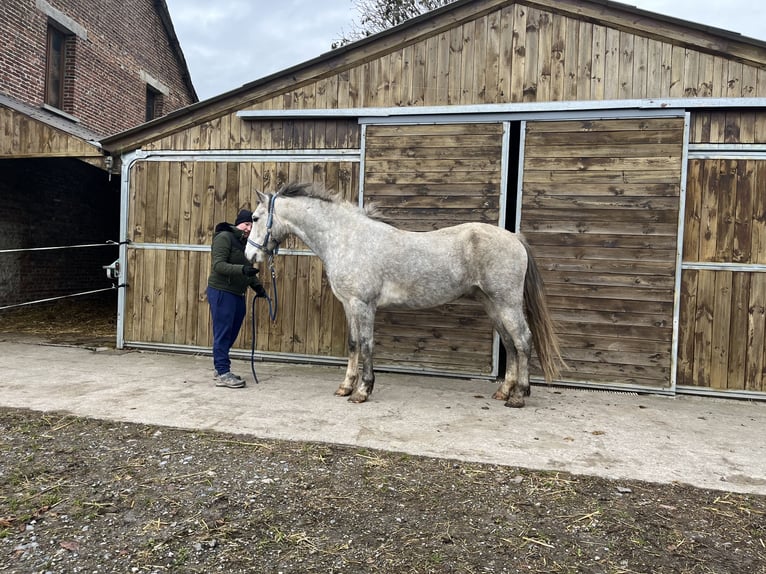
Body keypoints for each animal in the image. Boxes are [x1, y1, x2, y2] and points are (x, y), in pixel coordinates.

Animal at [246, 182, 564, 408]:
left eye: (256, 217)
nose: (251, 256)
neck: (347, 238)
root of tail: (514, 237)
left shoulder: (364, 305)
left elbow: (367, 345)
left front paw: (363, 391)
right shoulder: (349, 305)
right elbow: (353, 344)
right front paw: (345, 387)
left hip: (507, 303)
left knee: (523, 341)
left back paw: (519, 396)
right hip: (492, 304)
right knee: (510, 343)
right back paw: (503, 391)